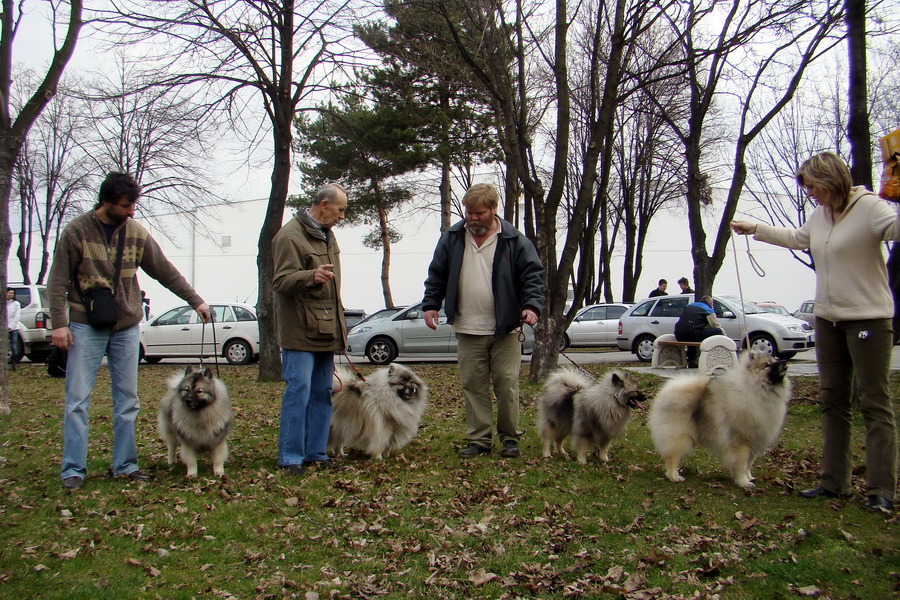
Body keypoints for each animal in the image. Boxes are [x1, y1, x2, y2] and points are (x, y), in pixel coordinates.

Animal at [648, 352, 788, 488]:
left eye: (775, 360)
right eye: (767, 365)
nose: (784, 361)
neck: (758, 390)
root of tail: (668, 390)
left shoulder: (754, 443)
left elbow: (748, 464)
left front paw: (749, 477)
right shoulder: (741, 443)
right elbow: (741, 465)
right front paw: (743, 482)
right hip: (680, 437)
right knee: (672, 457)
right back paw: (674, 476)